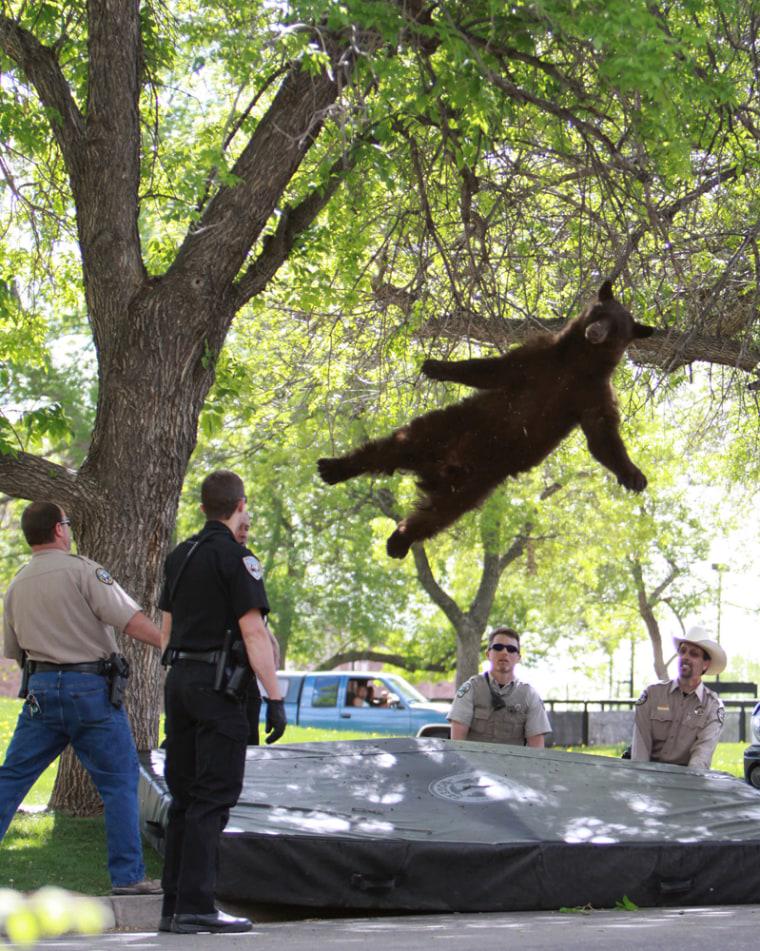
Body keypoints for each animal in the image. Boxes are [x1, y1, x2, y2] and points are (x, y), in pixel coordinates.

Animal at [318, 278, 656, 556]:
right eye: (599, 313)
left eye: (617, 328)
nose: (595, 332)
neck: (578, 362)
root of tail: (437, 468)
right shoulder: (539, 358)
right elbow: (492, 369)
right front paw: (436, 366)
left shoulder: (592, 393)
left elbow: (602, 435)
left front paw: (633, 476)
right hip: (442, 429)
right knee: (387, 449)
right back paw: (335, 467)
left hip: (475, 485)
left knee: (436, 515)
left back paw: (399, 540)